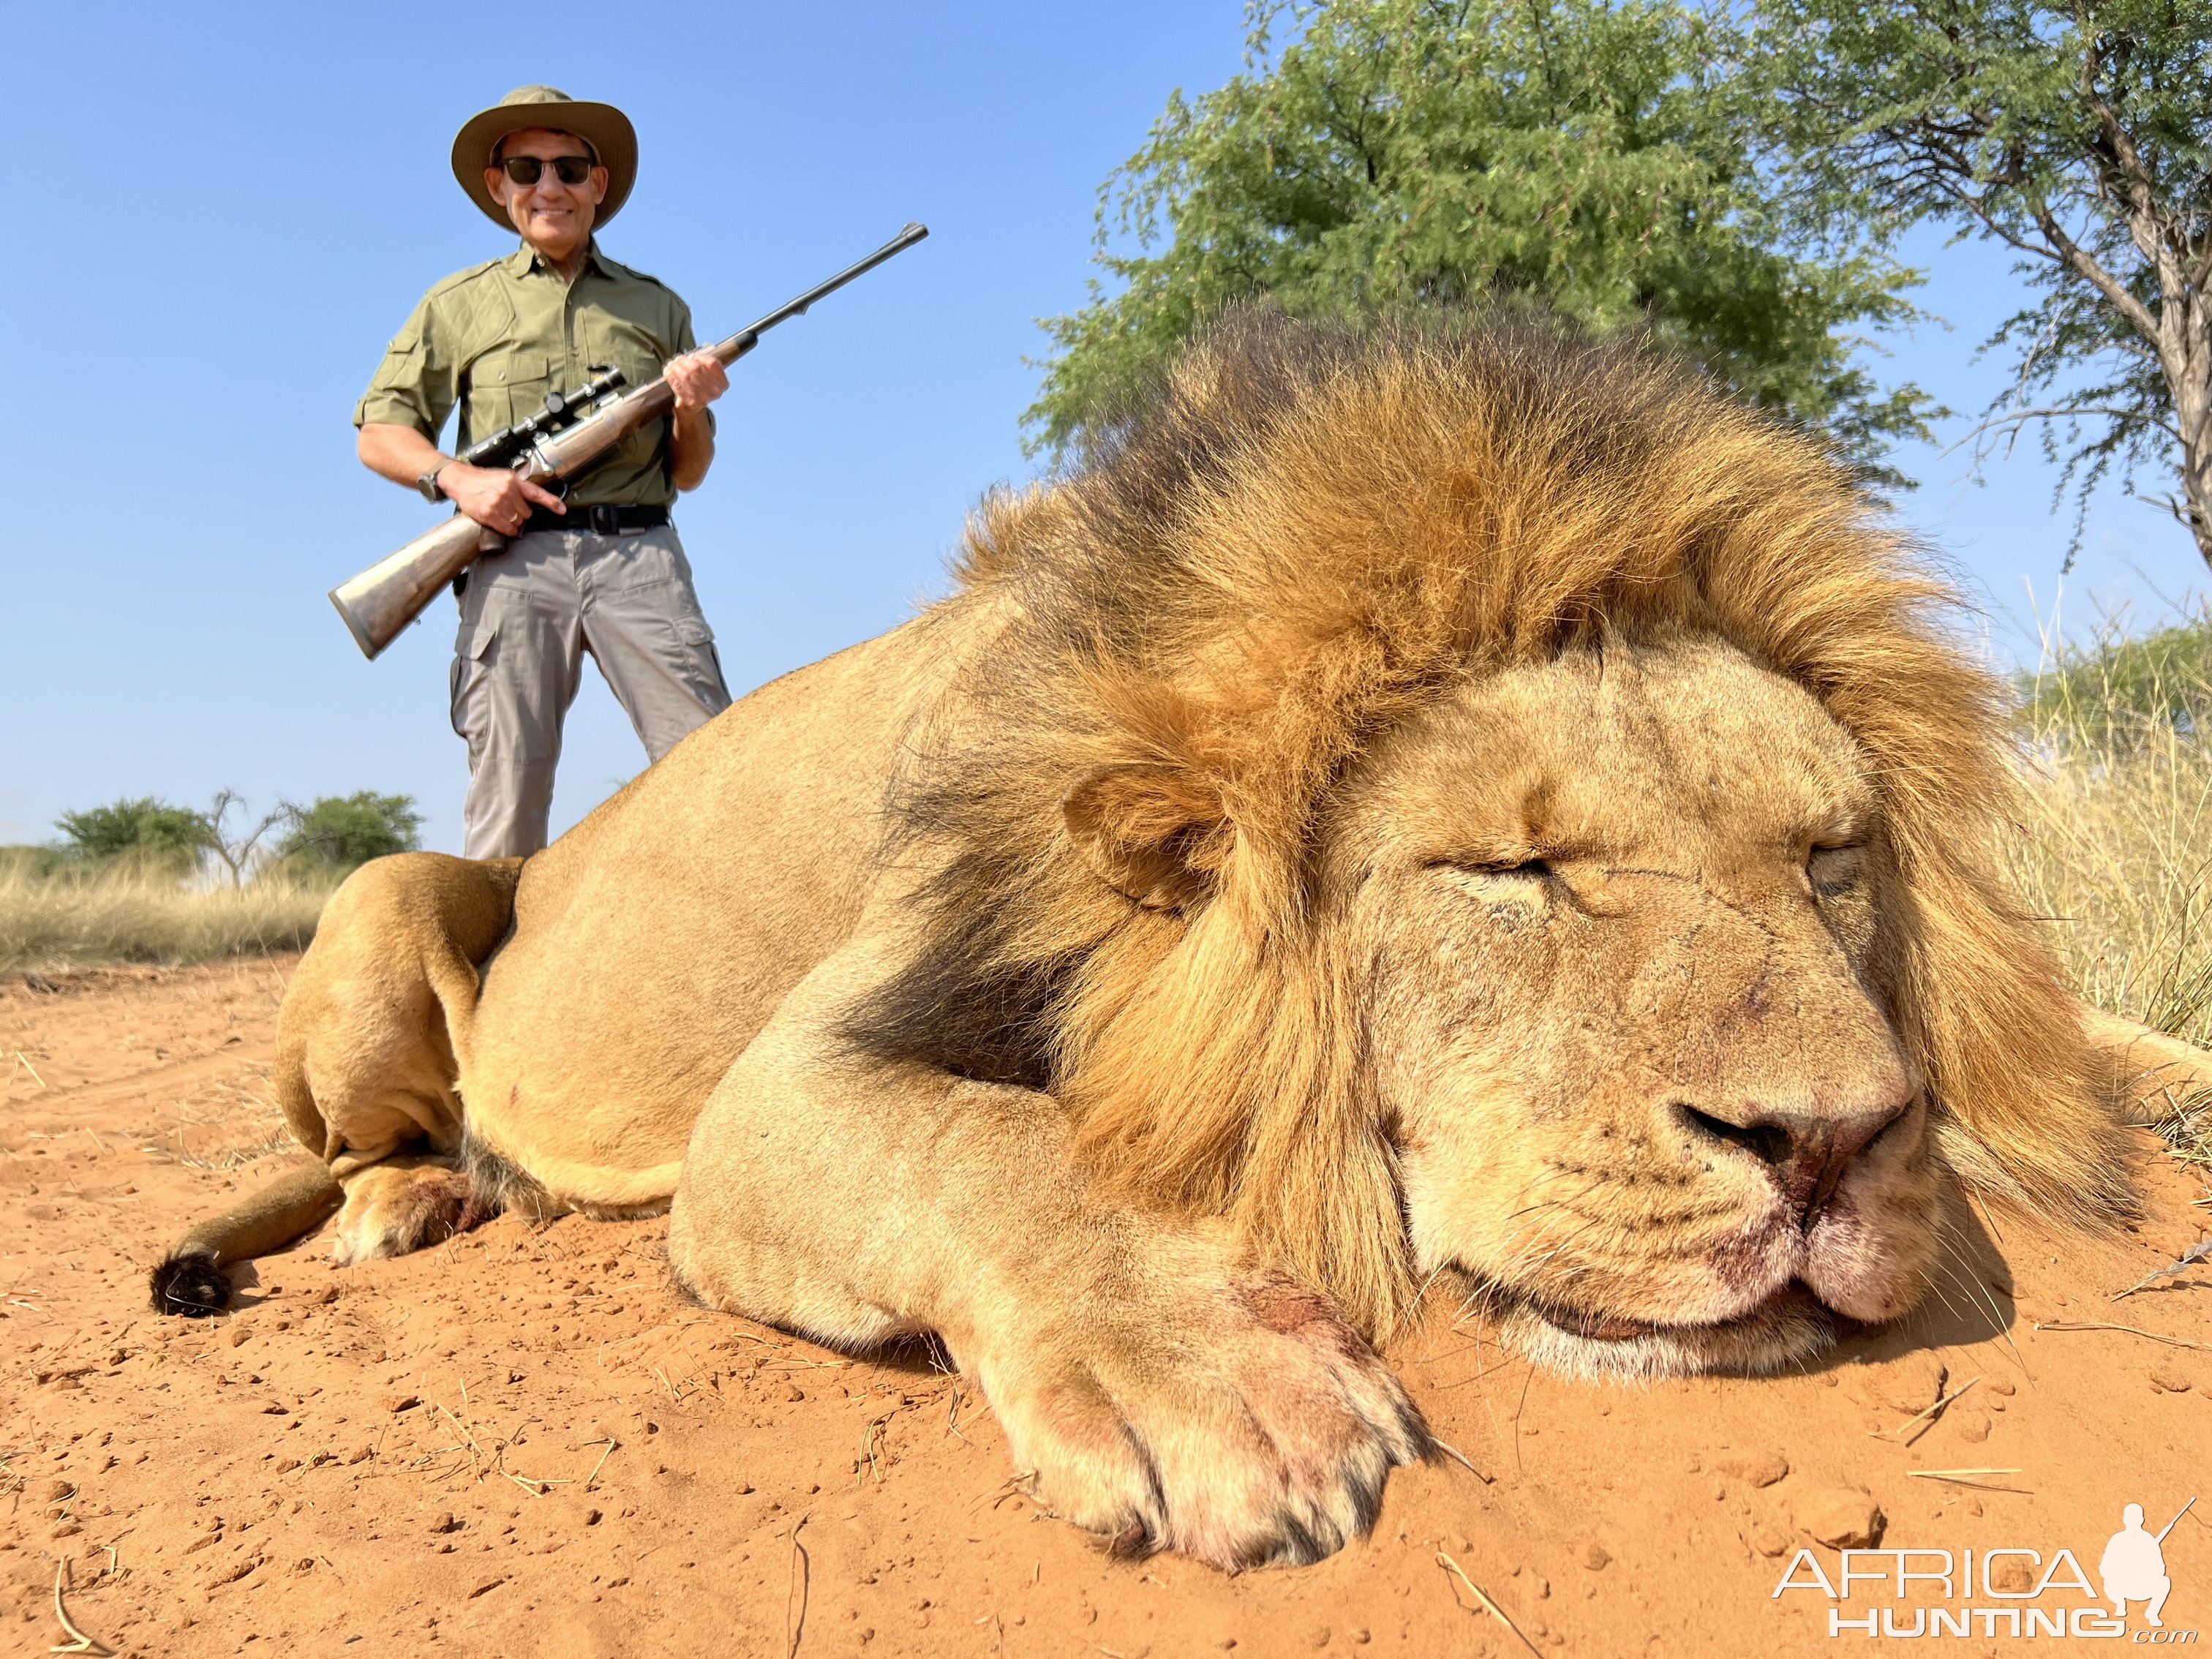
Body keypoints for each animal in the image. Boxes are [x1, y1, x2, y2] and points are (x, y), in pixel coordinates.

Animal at [151, 312, 2194, 1575]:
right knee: (364, 1129)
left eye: (1835, 858)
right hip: (386, 895)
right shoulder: (783, 1090)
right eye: (1512, 873)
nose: (1831, 1147)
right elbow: (998, 1145)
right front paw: (1223, 1381)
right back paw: (412, 1198)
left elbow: (2106, 1039)